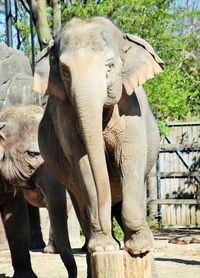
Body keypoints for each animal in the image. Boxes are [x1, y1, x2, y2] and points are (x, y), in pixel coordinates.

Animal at [33, 16, 164, 256]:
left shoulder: (131, 107)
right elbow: (83, 164)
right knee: (78, 198)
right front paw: (103, 247)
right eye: (64, 70)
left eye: (110, 65)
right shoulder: (64, 117)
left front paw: (139, 249)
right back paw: (95, 246)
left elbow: (129, 157)